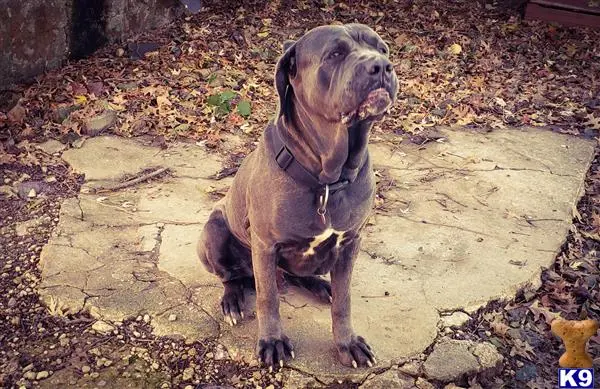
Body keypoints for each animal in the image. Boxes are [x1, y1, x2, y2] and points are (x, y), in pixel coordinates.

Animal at [198, 22, 398, 368]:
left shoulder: (351, 243)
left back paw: (320, 285)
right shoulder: (265, 244)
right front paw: (273, 341)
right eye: (335, 53)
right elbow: (268, 299)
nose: (382, 66)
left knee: (296, 276)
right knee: (233, 277)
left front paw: (348, 343)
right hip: (213, 232)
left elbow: (344, 300)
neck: (328, 179)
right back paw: (232, 301)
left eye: (382, 49)